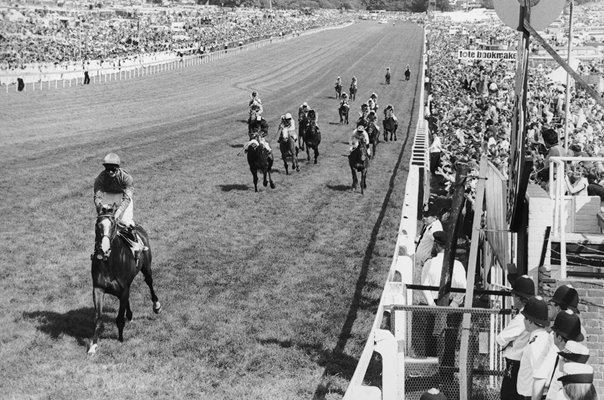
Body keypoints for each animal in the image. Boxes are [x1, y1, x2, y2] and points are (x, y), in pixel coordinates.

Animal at [88, 205, 162, 354]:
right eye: (97, 225)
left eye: (113, 225)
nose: (103, 249)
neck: (109, 263)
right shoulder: (98, 289)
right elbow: (98, 318)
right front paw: (93, 345)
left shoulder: (123, 289)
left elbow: (119, 318)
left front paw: (121, 339)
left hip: (147, 267)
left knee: (149, 282)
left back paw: (156, 306)